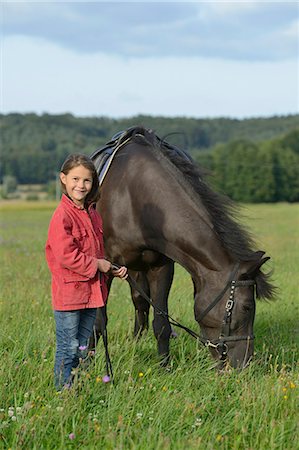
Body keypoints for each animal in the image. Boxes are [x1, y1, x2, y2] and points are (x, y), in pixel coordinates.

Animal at [90, 125, 276, 370]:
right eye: (246, 307)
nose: (244, 363)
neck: (134, 198)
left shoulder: (161, 266)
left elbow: (161, 323)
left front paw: (164, 367)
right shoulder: (105, 268)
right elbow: (98, 322)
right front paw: (84, 362)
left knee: (140, 301)